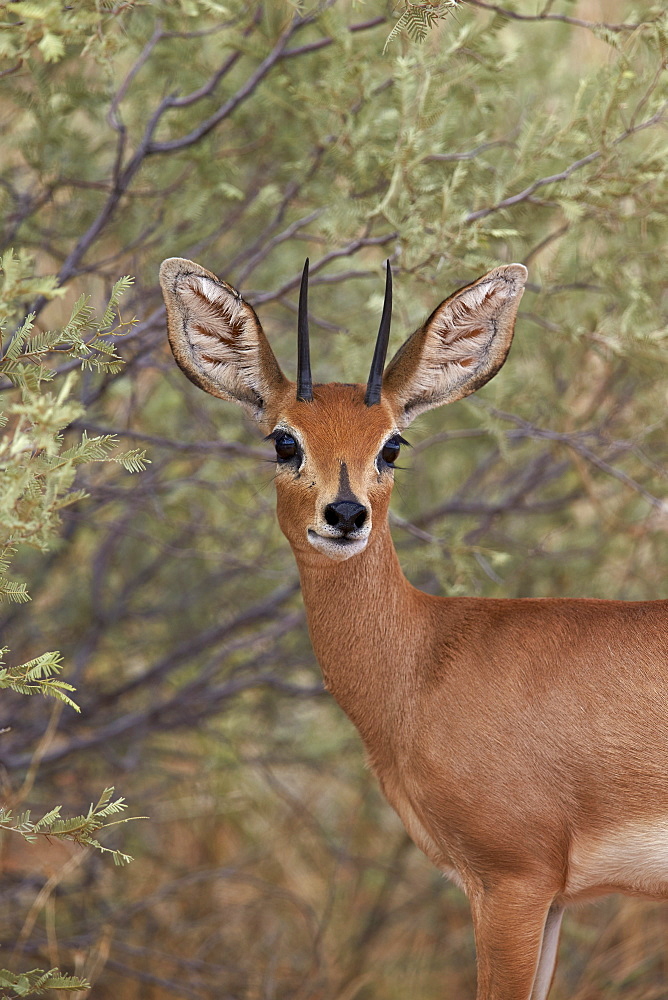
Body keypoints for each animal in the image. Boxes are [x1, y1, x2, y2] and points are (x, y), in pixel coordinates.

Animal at [160, 256, 668, 1000]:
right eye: (285, 440)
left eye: (392, 444)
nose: (346, 514)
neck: (428, 659)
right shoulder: (547, 898)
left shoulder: (514, 881)